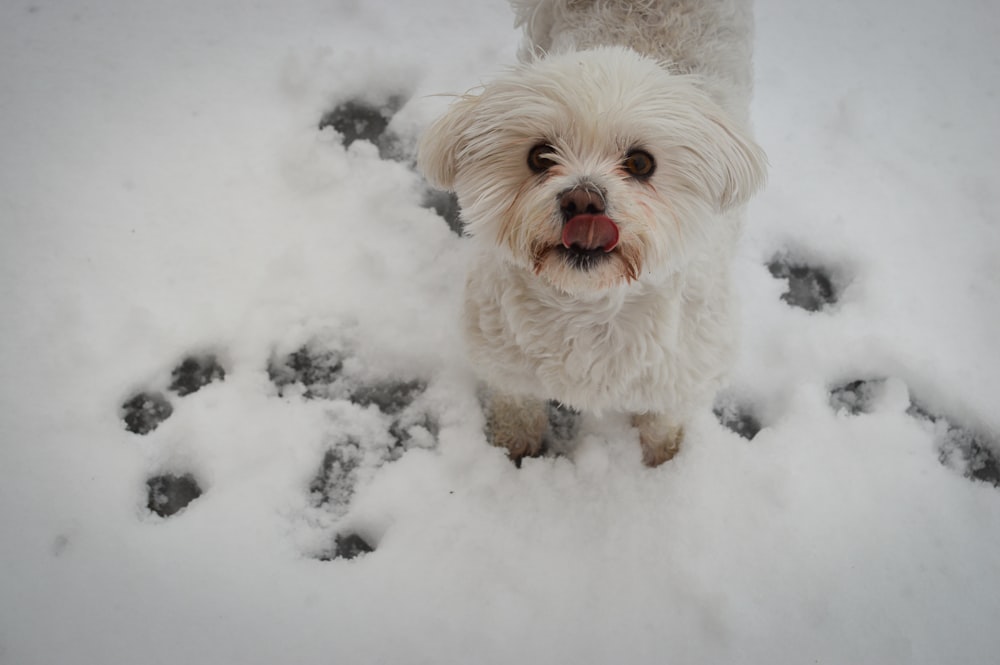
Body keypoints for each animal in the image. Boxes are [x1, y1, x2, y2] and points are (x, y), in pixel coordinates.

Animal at [418, 0, 768, 464]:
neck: (588, 306)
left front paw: (663, 465)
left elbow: (662, 424)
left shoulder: (684, 372)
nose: (583, 201)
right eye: (540, 156)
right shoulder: (506, 360)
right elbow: (517, 410)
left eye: (640, 163)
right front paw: (512, 450)